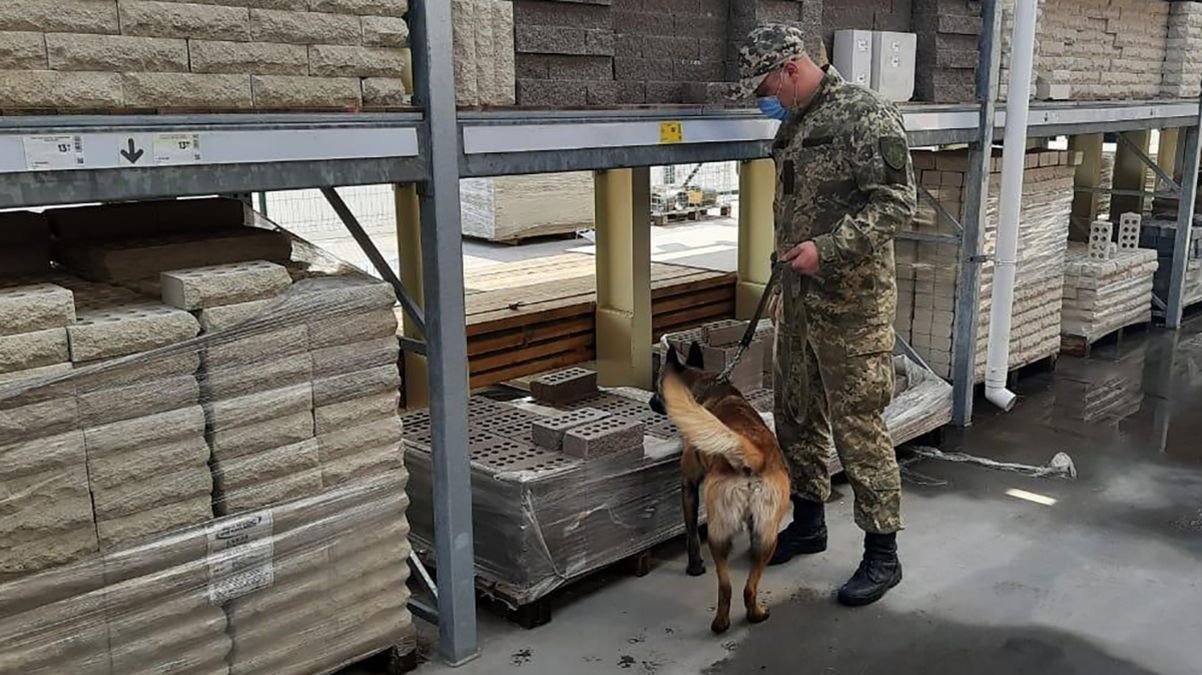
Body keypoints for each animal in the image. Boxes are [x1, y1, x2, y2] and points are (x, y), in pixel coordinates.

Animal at [649, 343, 788, 634]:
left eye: (657, 384)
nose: (650, 401)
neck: (705, 384)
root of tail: (753, 454)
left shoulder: (688, 486)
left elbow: (691, 533)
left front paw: (694, 566)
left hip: (718, 534)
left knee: (725, 587)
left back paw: (720, 623)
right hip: (768, 535)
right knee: (748, 587)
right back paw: (756, 613)